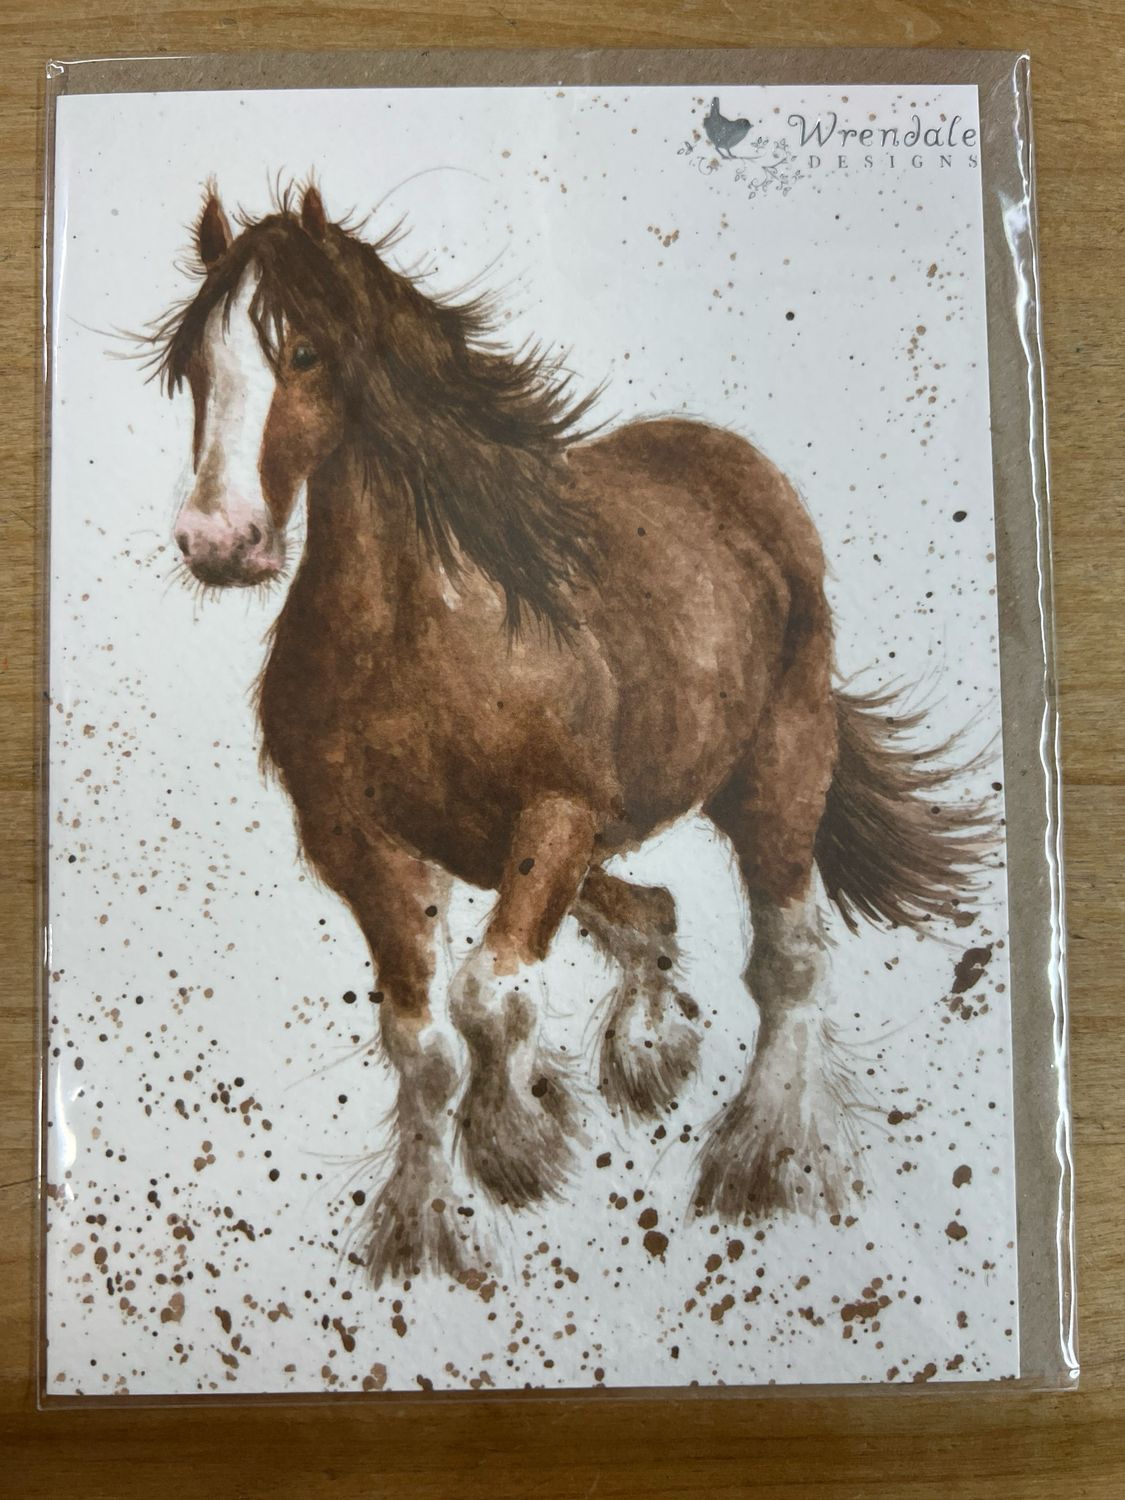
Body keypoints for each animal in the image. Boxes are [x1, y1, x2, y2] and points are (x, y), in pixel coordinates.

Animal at [151, 183, 988, 1285]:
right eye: (194, 368)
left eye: (305, 353)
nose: (219, 541)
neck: (419, 628)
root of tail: (740, 471)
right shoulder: (361, 846)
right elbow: (422, 1044)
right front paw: (422, 1227)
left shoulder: (552, 815)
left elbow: (488, 996)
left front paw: (516, 1144)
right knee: (652, 913)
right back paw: (651, 1053)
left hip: (776, 771)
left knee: (789, 962)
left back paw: (765, 1160)